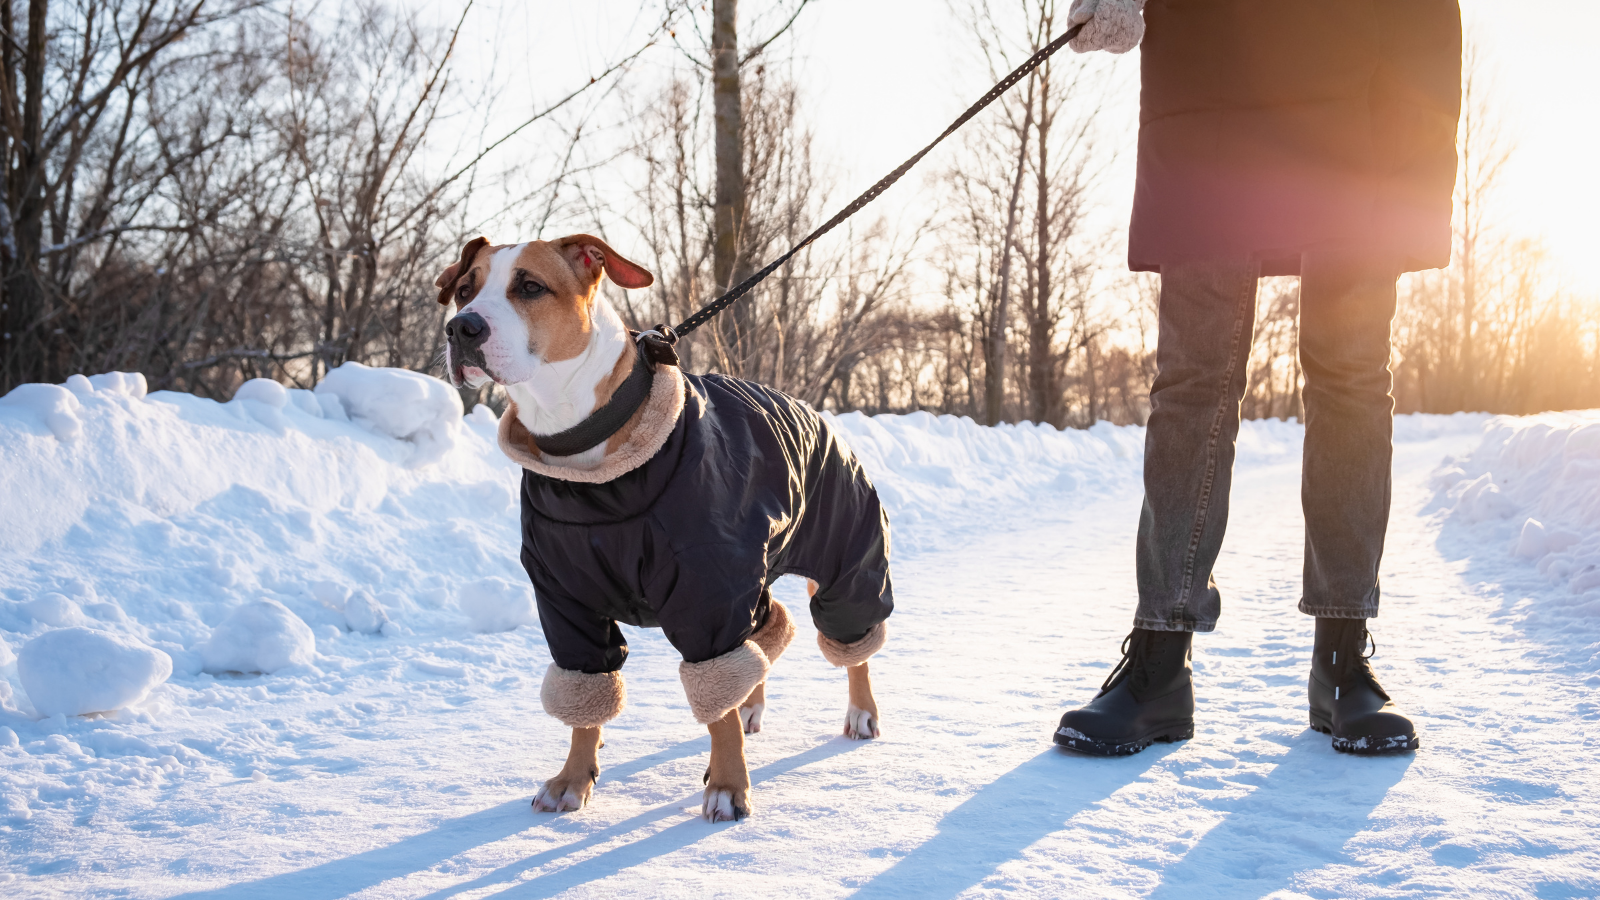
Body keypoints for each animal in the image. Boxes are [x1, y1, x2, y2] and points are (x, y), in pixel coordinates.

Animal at [432, 232, 896, 819]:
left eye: (531, 287)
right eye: (464, 289)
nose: (462, 328)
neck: (588, 466)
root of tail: (813, 411)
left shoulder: (707, 592)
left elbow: (716, 705)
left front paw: (728, 786)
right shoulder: (564, 601)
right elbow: (586, 695)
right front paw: (572, 778)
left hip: (846, 556)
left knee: (851, 636)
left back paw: (861, 712)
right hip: (757, 575)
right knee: (769, 629)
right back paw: (754, 704)